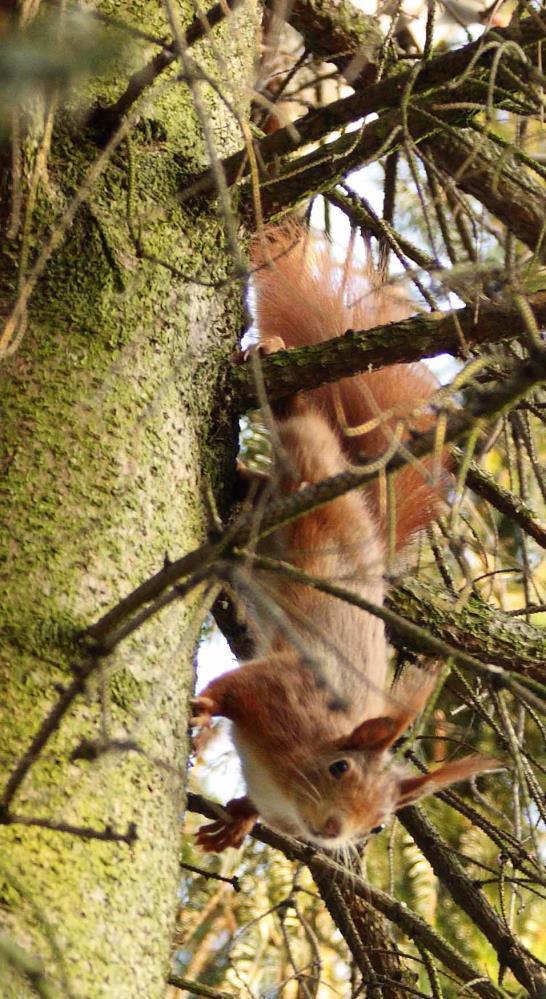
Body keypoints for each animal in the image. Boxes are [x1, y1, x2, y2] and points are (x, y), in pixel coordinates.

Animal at [190, 225, 498, 852]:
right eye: (339, 768)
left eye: (379, 823)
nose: (334, 831)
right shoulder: (283, 688)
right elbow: (236, 685)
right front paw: (206, 706)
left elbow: (253, 805)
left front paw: (238, 819)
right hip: (310, 467)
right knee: (301, 418)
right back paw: (271, 355)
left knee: (254, 485)